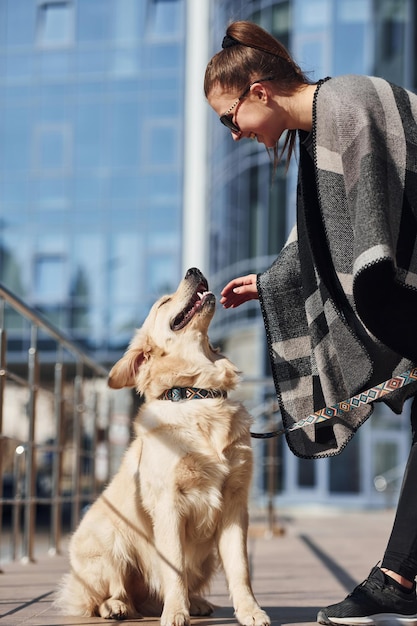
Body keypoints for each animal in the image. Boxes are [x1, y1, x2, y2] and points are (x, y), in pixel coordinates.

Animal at [56, 268, 270, 624]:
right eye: (164, 302)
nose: (194, 270)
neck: (196, 395)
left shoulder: (235, 505)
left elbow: (240, 569)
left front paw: (250, 611)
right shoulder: (169, 504)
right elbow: (174, 568)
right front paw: (175, 612)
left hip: (206, 557)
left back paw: (192, 602)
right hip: (109, 538)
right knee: (107, 593)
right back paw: (118, 606)